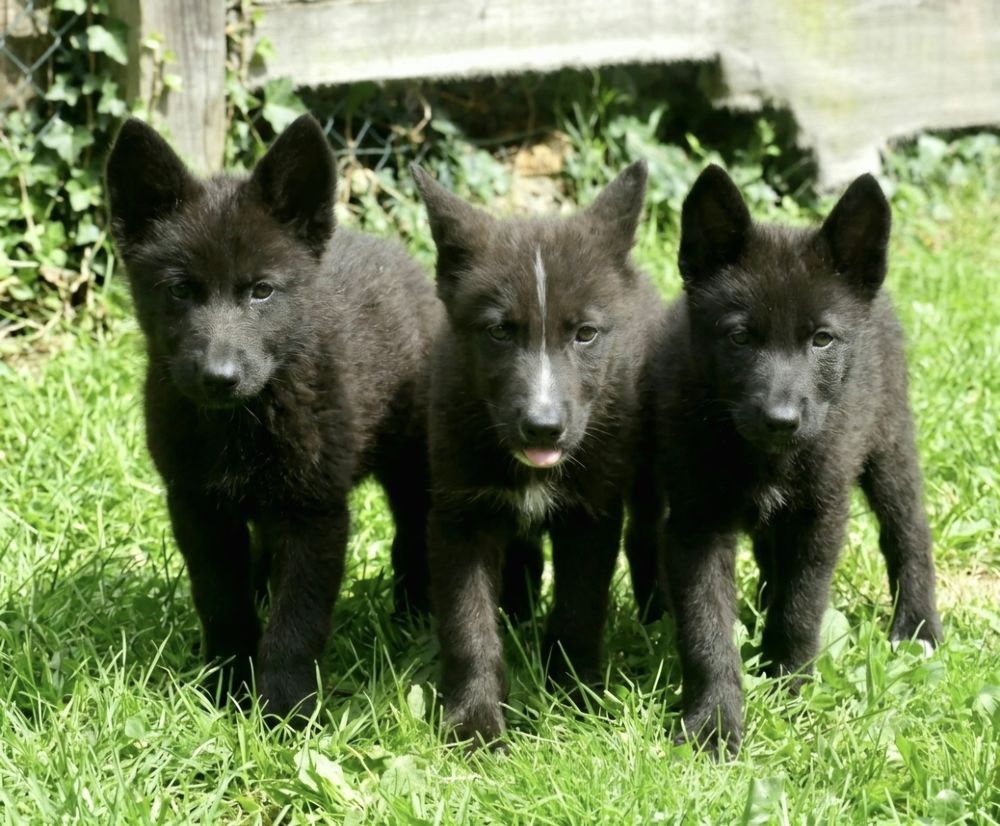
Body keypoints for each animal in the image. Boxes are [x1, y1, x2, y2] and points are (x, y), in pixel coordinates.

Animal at [105, 114, 442, 720]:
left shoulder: (314, 512)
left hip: (411, 461)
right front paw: (224, 687)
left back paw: (413, 615)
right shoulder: (197, 507)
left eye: (261, 291)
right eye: (180, 290)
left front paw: (284, 713)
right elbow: (222, 601)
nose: (218, 377)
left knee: (411, 532)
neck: (241, 421)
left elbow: (297, 620)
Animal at [412, 161, 665, 746]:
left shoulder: (591, 516)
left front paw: (574, 700)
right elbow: (468, 627)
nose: (543, 428)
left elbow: (578, 609)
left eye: (586, 334)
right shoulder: (458, 516)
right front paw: (474, 725)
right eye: (499, 331)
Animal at [628, 164, 942, 754]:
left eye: (822, 339)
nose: (781, 420)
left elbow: (801, 606)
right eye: (739, 336)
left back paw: (917, 628)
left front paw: (790, 686)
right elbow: (705, 627)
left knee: (908, 532)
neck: (763, 456)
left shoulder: (821, 511)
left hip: (889, 441)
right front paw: (714, 722)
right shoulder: (697, 521)